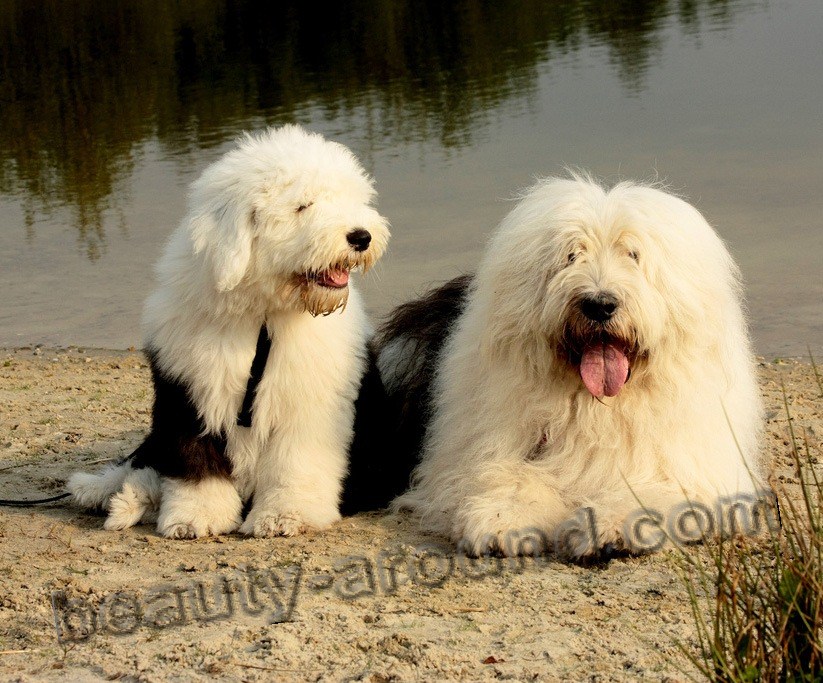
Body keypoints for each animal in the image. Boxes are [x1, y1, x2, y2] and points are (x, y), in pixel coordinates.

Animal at [68, 124, 392, 540]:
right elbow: (195, 462)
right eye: (303, 206)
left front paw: (284, 515)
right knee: (146, 459)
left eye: (352, 199)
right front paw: (195, 517)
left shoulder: (309, 402)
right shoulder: (190, 389)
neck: (264, 315)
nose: (361, 237)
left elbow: (297, 462)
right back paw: (108, 494)